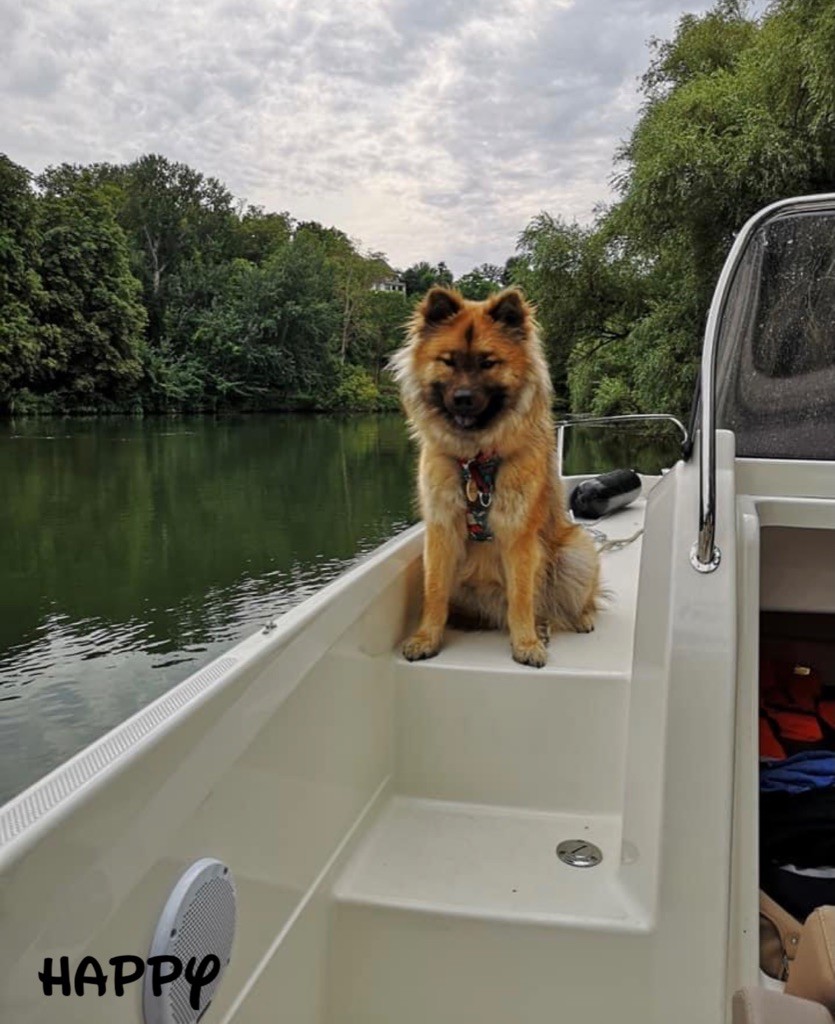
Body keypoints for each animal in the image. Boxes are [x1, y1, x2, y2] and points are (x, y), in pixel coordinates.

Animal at [391, 286, 601, 668]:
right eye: (449, 361)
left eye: (488, 362)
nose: (462, 399)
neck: (475, 460)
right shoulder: (440, 531)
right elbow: (434, 592)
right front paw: (426, 638)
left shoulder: (519, 536)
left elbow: (521, 597)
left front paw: (526, 643)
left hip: (576, 551)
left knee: (564, 601)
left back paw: (577, 618)